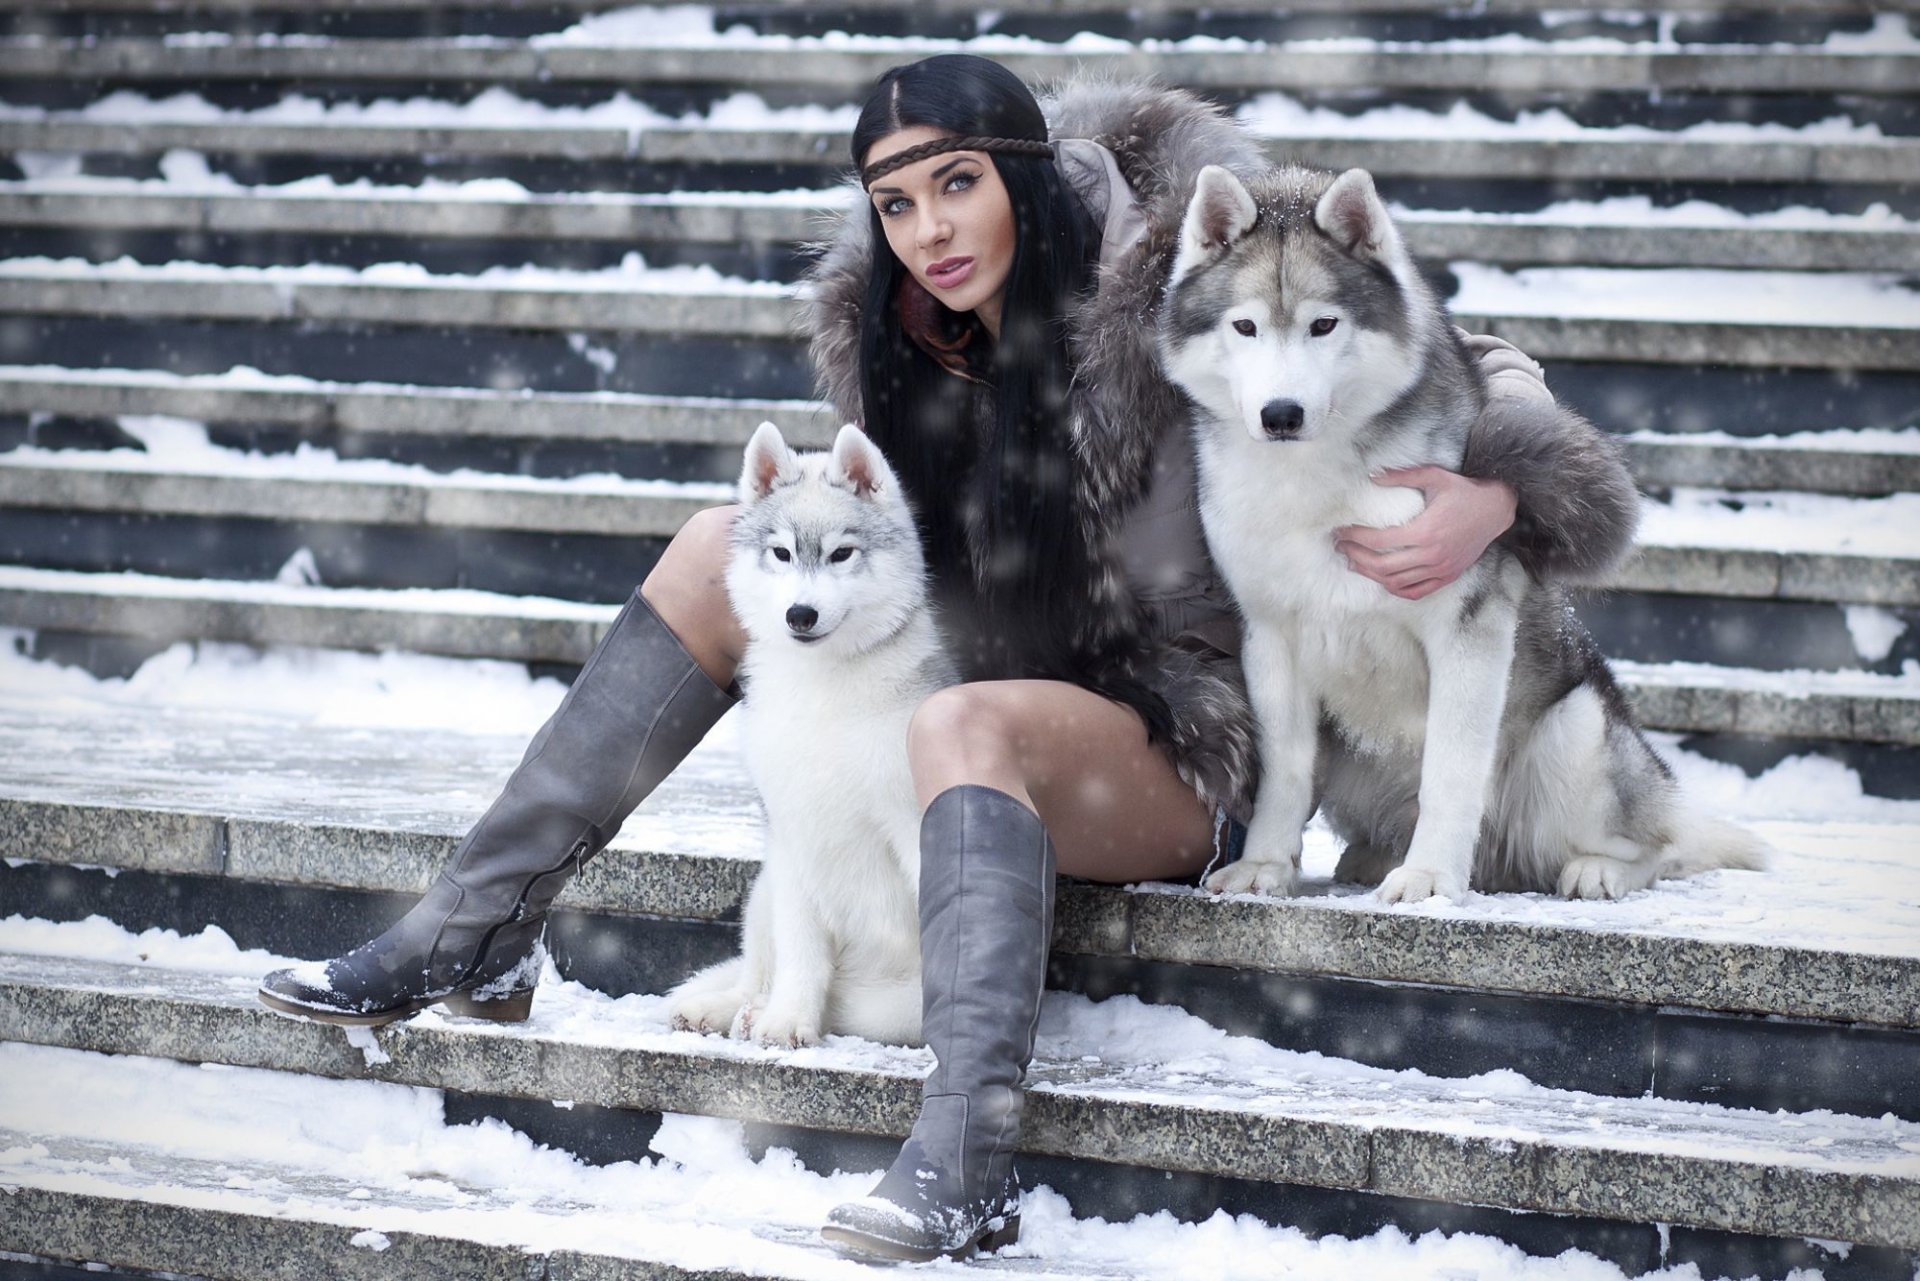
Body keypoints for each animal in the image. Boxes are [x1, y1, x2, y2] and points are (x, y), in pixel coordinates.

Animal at [668, 426, 952, 1044]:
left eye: (842, 553)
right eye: (782, 553)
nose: (800, 614)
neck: (824, 690)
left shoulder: (914, 827)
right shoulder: (793, 835)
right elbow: (802, 954)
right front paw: (786, 1021)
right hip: (765, 888)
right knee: (755, 974)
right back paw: (725, 1009)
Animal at [1152, 165, 1766, 902]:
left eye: (1323, 324)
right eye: (1244, 326)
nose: (1281, 414)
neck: (1317, 482)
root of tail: (1503, 864)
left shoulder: (1466, 628)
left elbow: (1449, 770)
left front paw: (1429, 877)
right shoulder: (1271, 637)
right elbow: (1283, 770)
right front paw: (1265, 866)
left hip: (1577, 730)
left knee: (1658, 844)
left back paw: (1596, 869)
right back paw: (1374, 856)